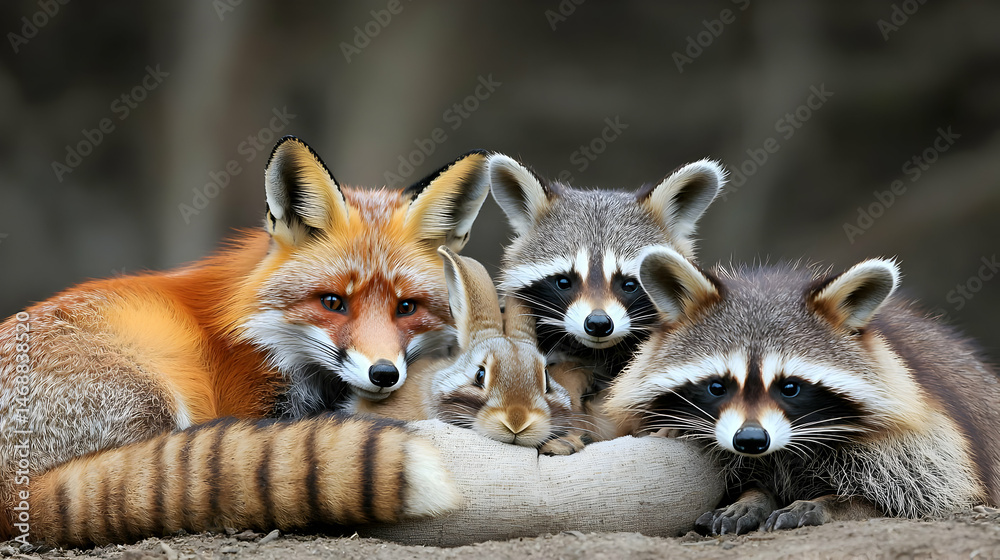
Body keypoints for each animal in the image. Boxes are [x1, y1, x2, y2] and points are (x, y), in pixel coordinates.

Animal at [0, 135, 490, 546]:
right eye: (333, 302)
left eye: (406, 307)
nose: (383, 374)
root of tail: (14, 491)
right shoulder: (250, 403)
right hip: (152, 397)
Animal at [605, 245, 1000, 534]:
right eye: (717, 386)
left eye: (790, 388)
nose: (750, 440)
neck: (782, 452)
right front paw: (752, 496)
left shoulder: (919, 444)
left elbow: (921, 496)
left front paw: (832, 503)